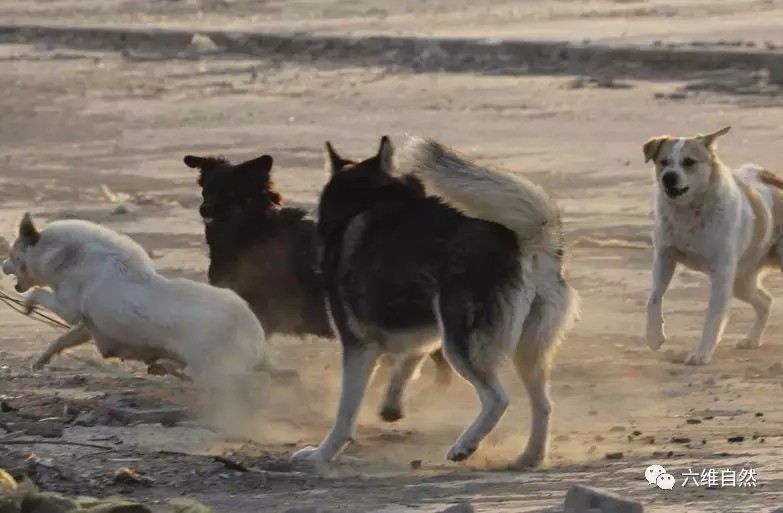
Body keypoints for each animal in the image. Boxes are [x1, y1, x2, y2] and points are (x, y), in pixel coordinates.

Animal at [644, 127, 783, 364]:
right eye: (663, 162)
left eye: (689, 162)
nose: (668, 177)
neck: (689, 213)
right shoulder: (665, 257)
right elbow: (654, 297)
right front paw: (654, 336)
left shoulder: (721, 274)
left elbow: (713, 317)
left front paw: (701, 354)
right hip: (741, 281)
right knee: (766, 301)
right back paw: (752, 339)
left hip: (738, 279)